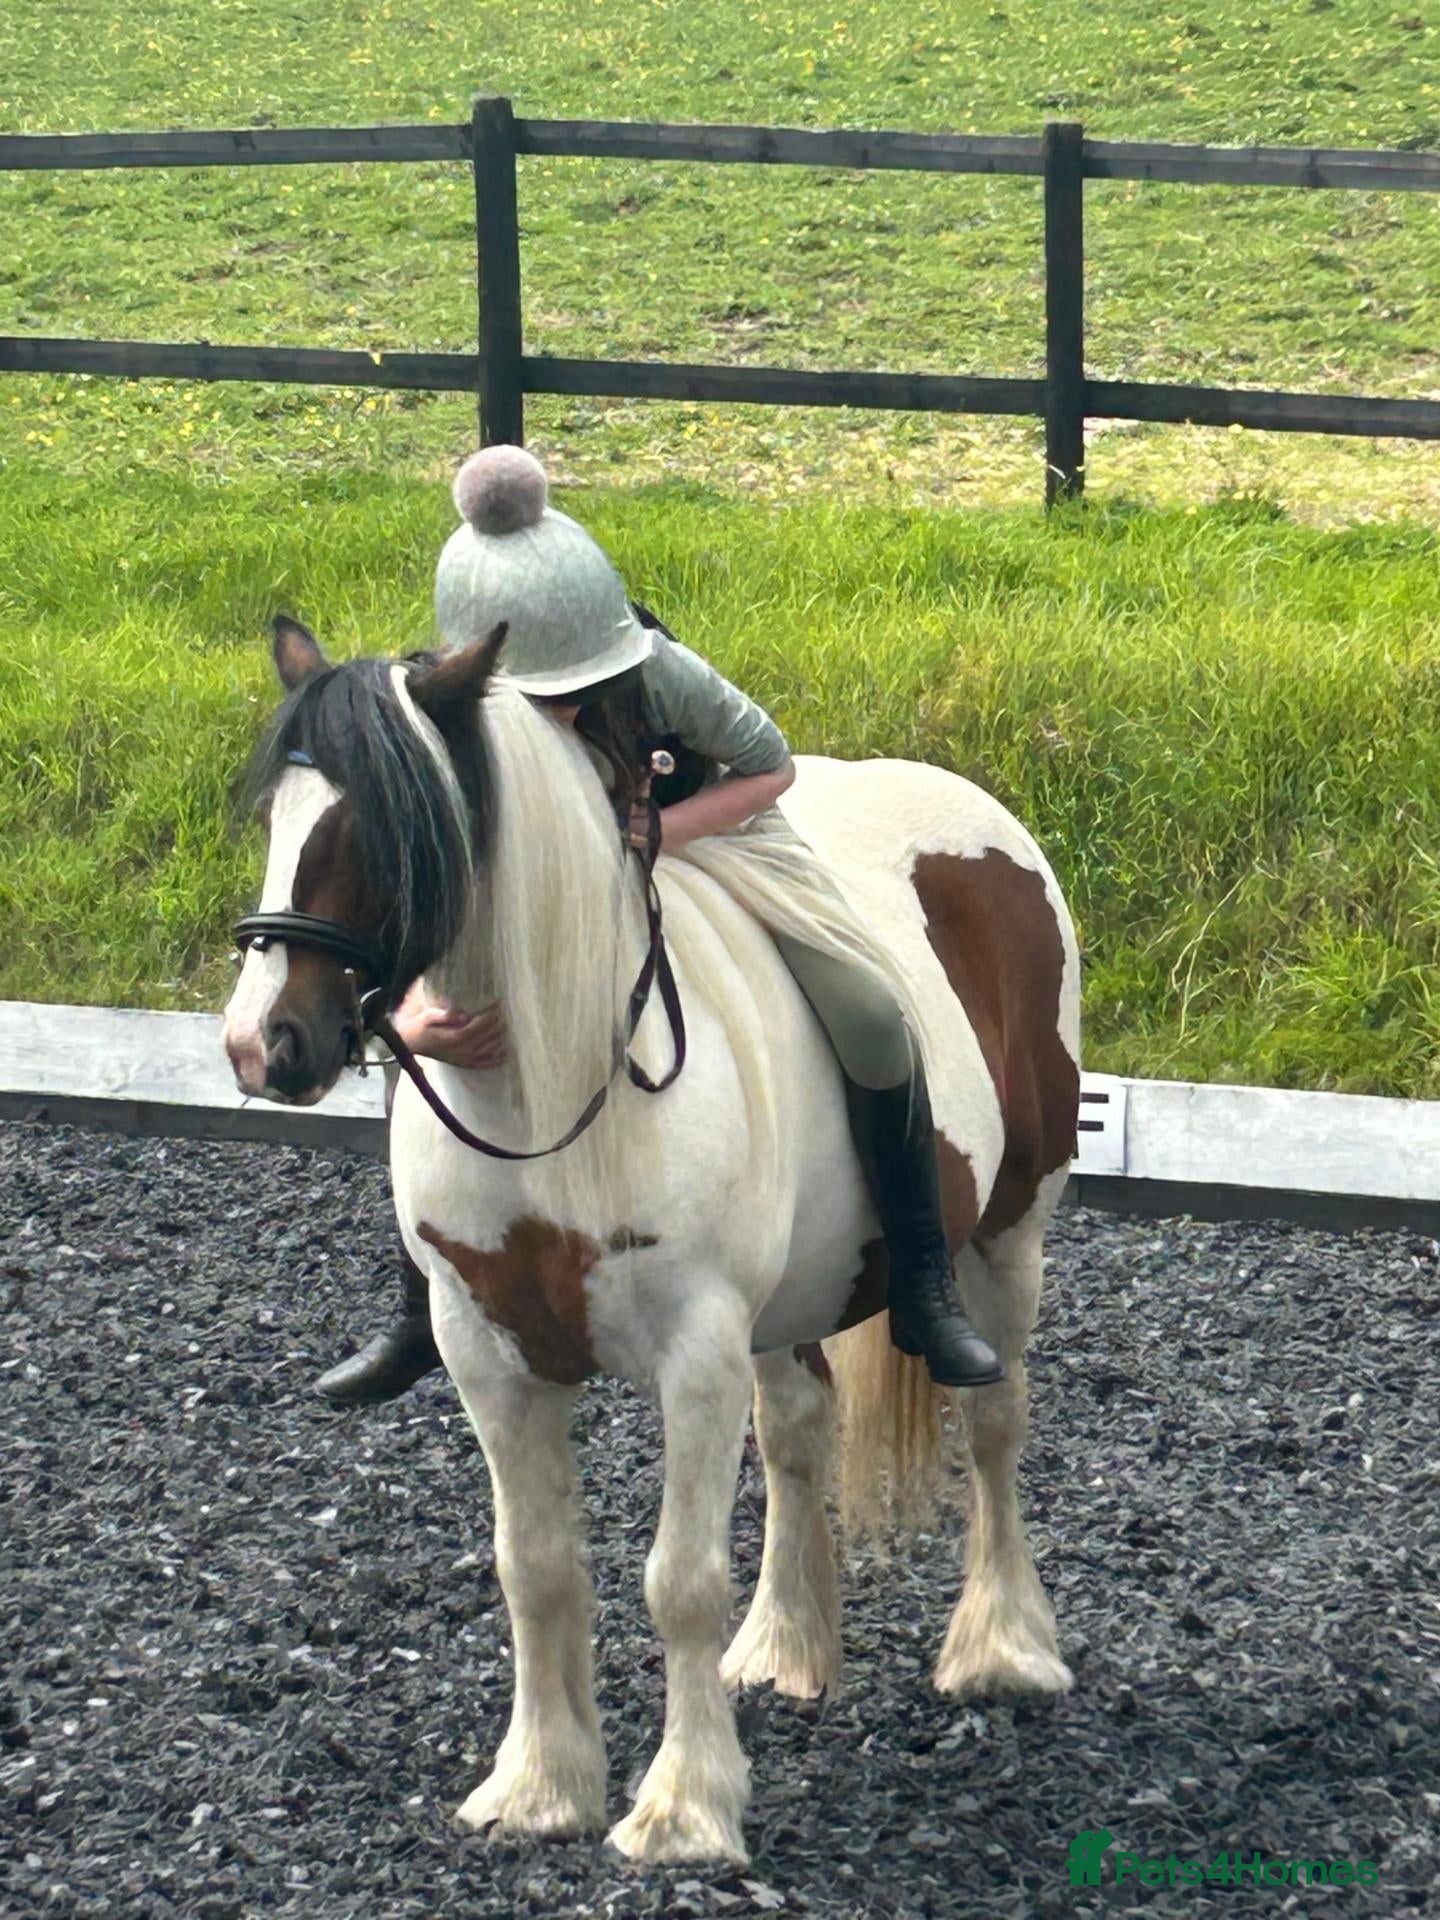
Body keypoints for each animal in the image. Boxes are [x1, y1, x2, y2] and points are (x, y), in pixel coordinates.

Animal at [222, 615, 1081, 1867]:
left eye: (388, 829)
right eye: (274, 819)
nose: (262, 1045)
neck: (553, 1082)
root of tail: (980, 813)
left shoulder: (695, 1354)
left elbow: (679, 1581)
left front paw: (683, 1808)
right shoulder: (490, 1357)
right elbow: (536, 1570)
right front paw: (538, 1787)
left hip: (1011, 1230)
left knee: (996, 1422)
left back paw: (1004, 1647)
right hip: (795, 1302)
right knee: (800, 1434)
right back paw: (786, 1646)